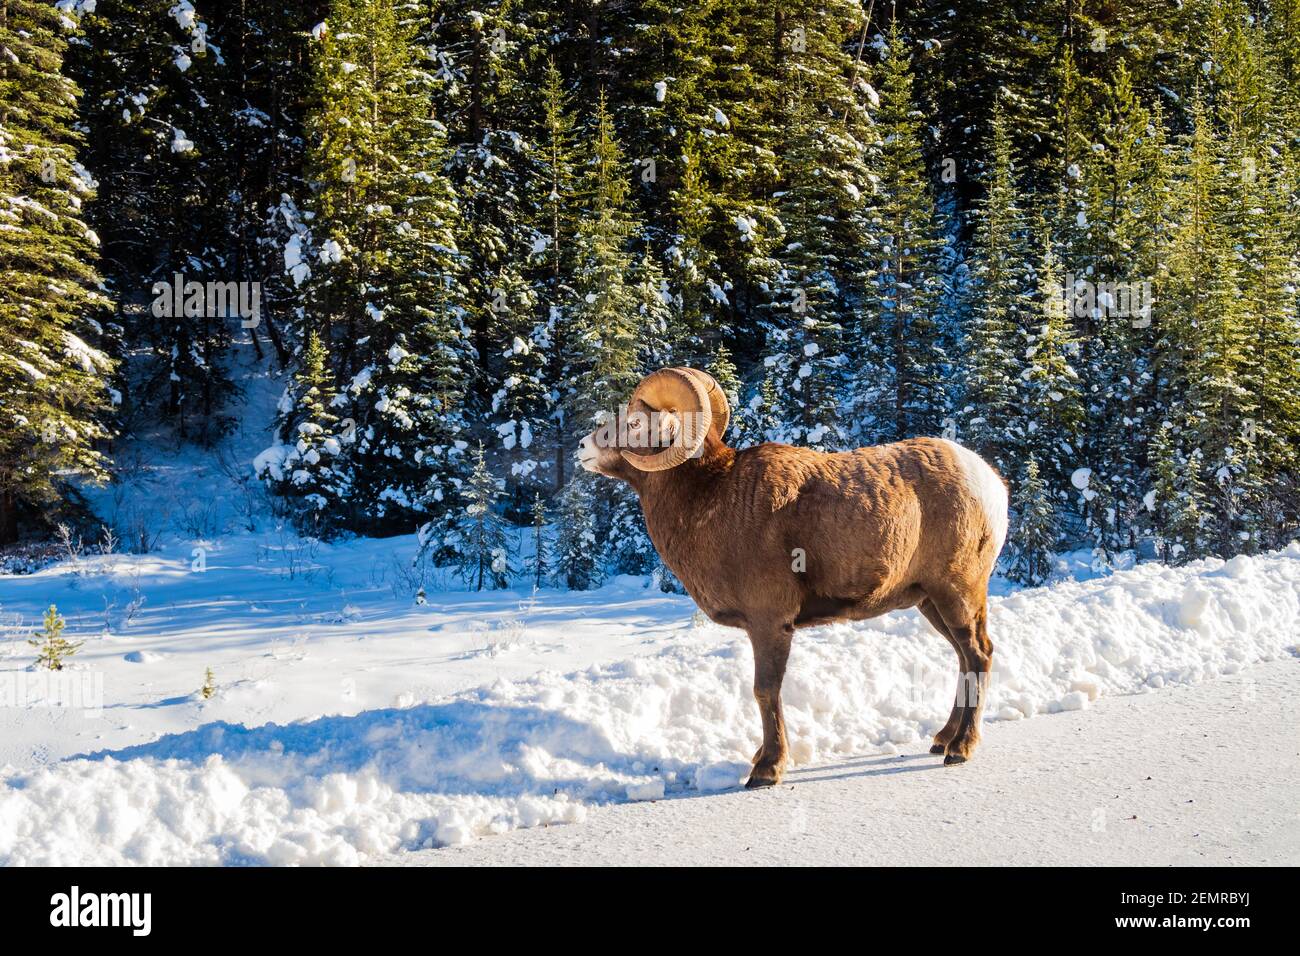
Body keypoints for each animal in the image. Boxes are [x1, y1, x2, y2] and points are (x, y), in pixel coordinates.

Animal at [574, 366, 1008, 785]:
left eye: (634, 423)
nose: (582, 448)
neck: (710, 499)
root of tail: (990, 483)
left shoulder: (769, 623)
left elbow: (765, 691)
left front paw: (767, 769)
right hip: (930, 602)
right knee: (963, 659)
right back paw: (942, 739)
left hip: (956, 593)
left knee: (978, 654)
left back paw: (960, 748)